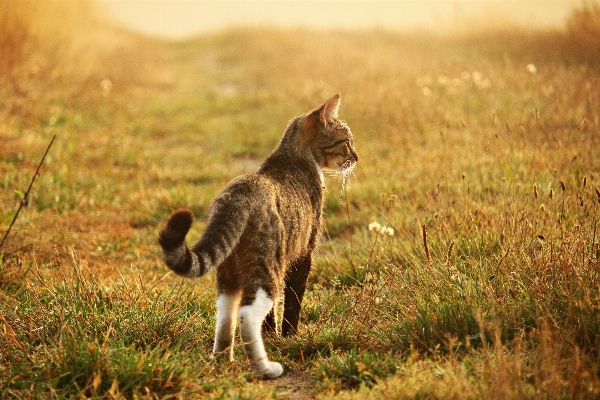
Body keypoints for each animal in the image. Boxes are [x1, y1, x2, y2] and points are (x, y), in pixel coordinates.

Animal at [157, 93, 358, 378]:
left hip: (230, 273)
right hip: (267, 267)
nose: (356, 157)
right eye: (346, 141)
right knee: (247, 315)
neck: (293, 156)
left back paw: (222, 360)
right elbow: (292, 302)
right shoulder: (303, 253)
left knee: (226, 314)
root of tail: (238, 194)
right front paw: (289, 337)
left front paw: (272, 334)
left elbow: (272, 315)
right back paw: (265, 368)